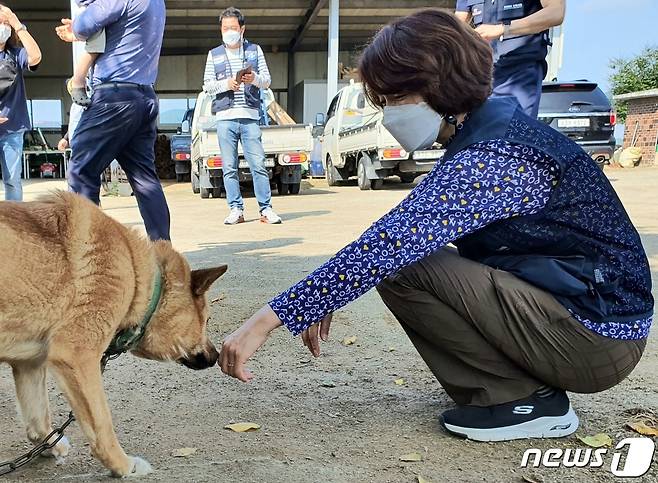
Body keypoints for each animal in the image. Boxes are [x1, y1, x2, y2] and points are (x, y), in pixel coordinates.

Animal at [0, 192, 226, 476]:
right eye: (206, 319)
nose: (216, 355)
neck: (137, 274)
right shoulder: (77, 357)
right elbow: (101, 423)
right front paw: (123, 465)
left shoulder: (29, 365)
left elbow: (38, 419)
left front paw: (50, 446)